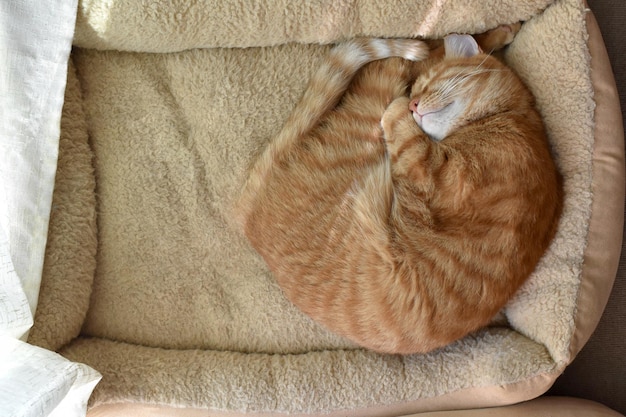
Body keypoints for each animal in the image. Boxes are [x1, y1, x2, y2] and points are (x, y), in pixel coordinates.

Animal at [234, 27, 560, 352]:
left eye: (428, 86)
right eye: (417, 92)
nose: (413, 104)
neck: (509, 120)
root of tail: (249, 217)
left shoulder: (435, 172)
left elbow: (405, 124)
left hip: (371, 107)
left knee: (404, 59)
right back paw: (499, 32)